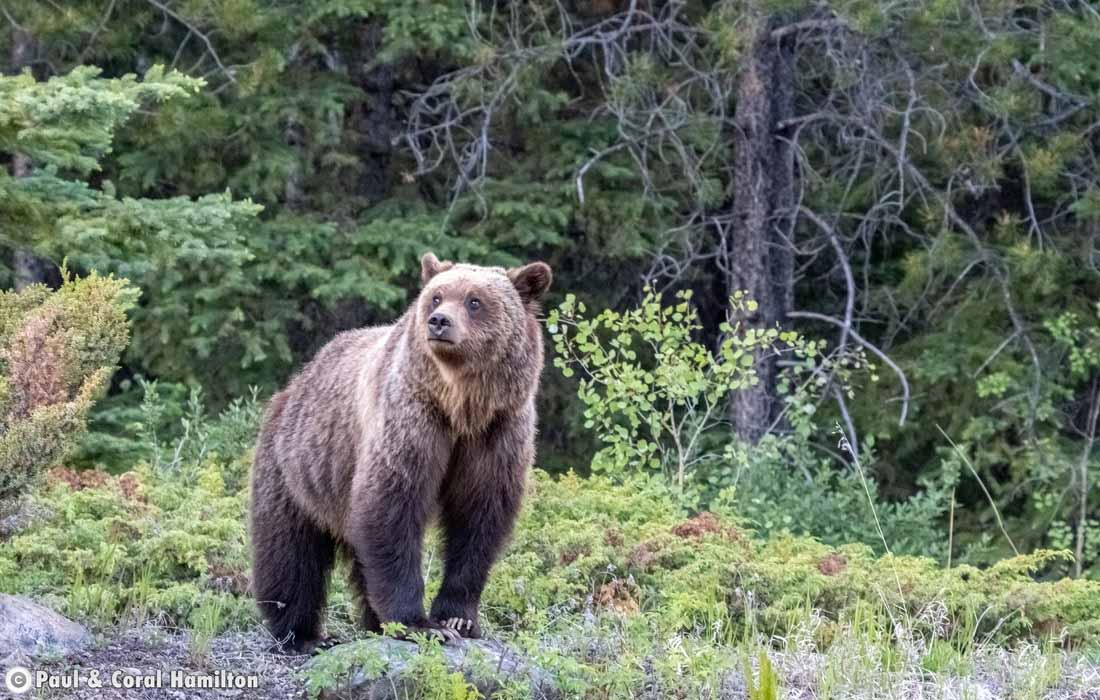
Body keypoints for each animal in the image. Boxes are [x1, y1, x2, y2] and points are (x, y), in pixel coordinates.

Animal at [249, 252, 550, 651]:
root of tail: (296, 382)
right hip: (296, 467)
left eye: (474, 301)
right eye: (437, 297)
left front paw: (458, 617)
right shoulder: (411, 419)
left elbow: (480, 518)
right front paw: (419, 624)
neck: (461, 407)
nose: (439, 321)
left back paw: (372, 623)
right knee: (290, 554)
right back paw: (305, 636)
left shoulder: (497, 432)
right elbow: (393, 507)